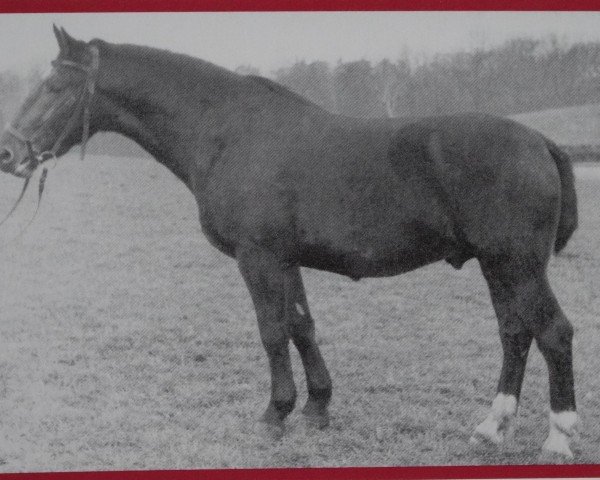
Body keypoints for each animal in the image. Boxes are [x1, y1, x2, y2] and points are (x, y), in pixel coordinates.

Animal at [0, 27, 580, 462]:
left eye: (54, 86)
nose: (9, 153)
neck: (227, 131)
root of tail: (540, 142)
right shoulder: (285, 259)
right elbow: (302, 326)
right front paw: (317, 408)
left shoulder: (257, 257)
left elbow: (272, 331)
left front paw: (273, 415)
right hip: (497, 266)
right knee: (514, 335)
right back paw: (491, 428)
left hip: (518, 265)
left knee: (552, 333)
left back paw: (559, 438)